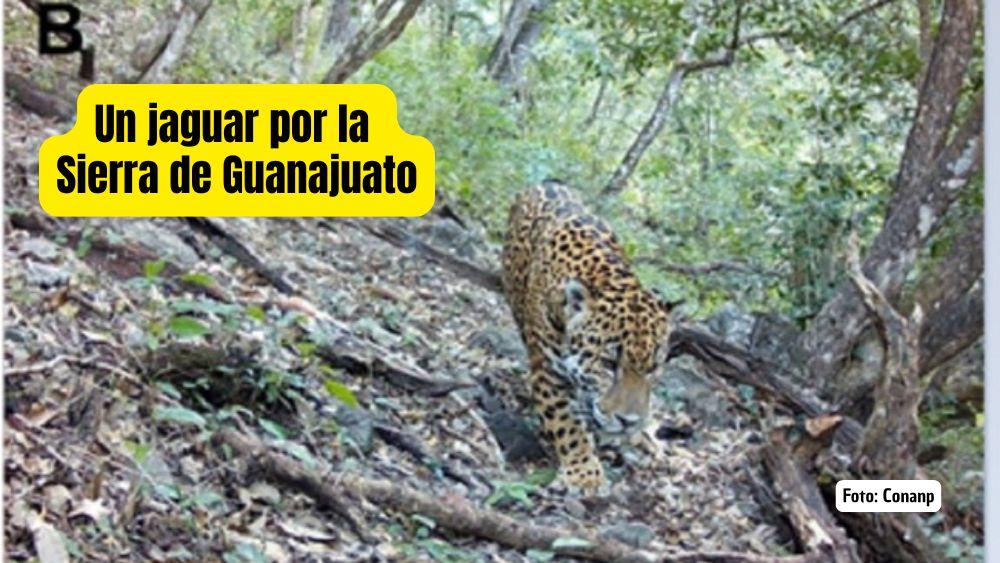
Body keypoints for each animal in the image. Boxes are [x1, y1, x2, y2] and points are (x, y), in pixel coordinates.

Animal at [501, 180, 674, 493]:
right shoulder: (547, 371)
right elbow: (566, 424)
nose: (629, 421)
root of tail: (548, 182)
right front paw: (585, 474)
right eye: (607, 363)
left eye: (653, 368)